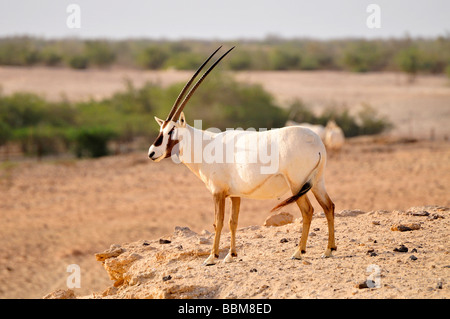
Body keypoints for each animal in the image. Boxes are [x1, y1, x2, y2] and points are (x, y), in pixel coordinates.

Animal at [148, 46, 334, 266]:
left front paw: (212, 257)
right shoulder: (235, 195)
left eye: (171, 131)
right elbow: (233, 222)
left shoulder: (217, 192)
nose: (151, 153)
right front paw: (231, 254)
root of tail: (317, 143)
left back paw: (299, 252)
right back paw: (329, 250)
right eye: (161, 129)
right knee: (329, 206)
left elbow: (218, 222)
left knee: (308, 211)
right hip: (317, 182)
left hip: (297, 185)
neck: (206, 145)